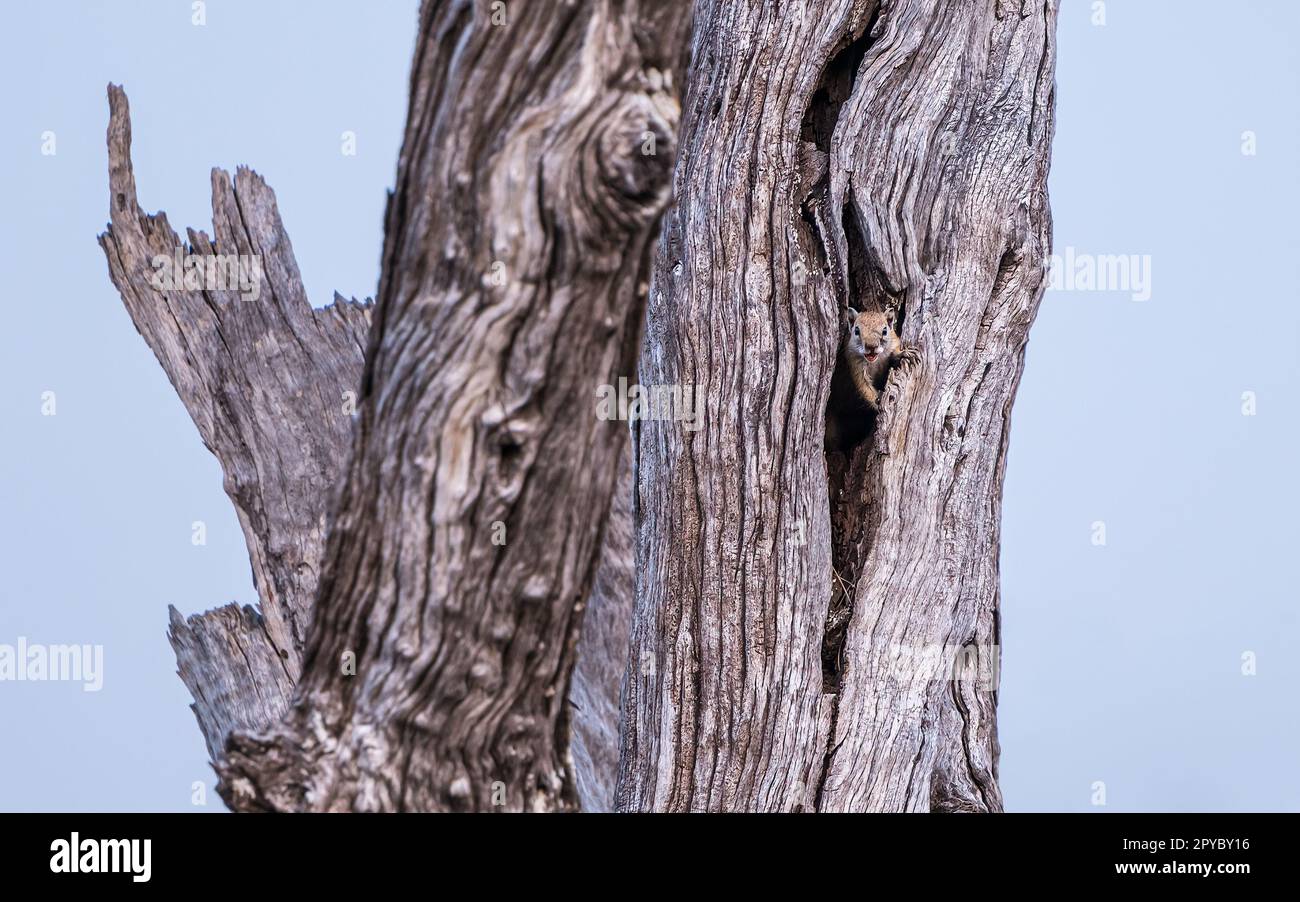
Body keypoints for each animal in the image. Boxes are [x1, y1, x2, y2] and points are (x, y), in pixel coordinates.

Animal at [825, 307, 918, 453]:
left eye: (885, 331)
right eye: (856, 331)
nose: (871, 346)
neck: (875, 360)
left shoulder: (894, 341)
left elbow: (895, 352)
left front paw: (904, 354)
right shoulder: (855, 364)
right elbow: (864, 386)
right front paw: (878, 399)